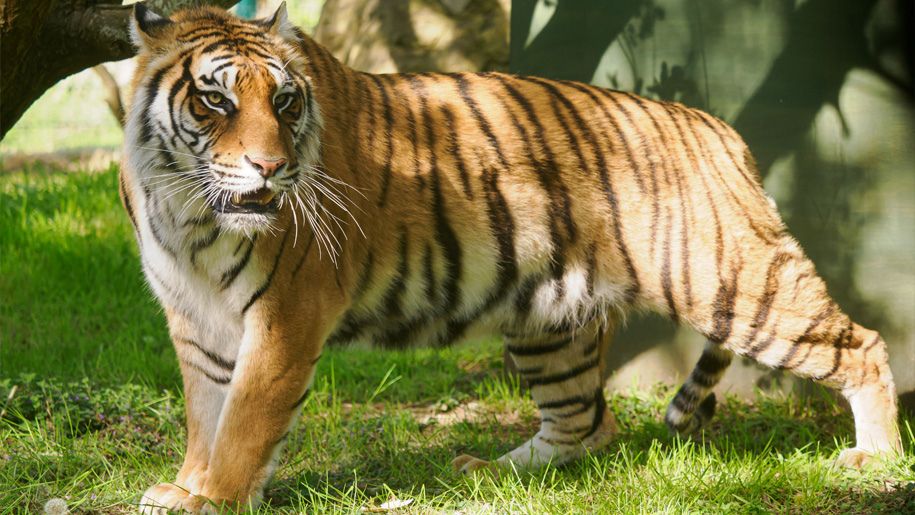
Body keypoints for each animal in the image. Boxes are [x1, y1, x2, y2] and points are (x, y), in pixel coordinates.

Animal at [120, 2, 900, 512]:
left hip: (733, 281)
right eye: (215, 101)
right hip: (549, 322)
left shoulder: (286, 316)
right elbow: (207, 414)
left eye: (284, 101)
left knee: (861, 344)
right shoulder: (197, 319)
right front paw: (188, 485)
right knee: (584, 421)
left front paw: (214, 497)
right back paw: (487, 473)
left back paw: (877, 457)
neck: (187, 209)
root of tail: (719, 127)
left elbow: (245, 420)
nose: (271, 167)